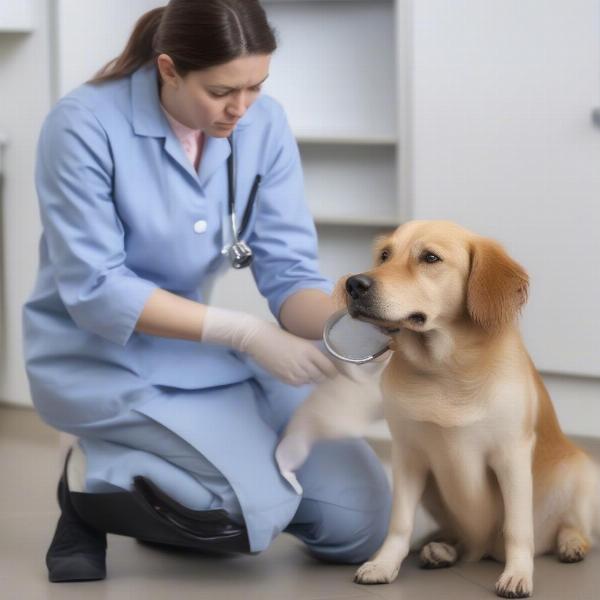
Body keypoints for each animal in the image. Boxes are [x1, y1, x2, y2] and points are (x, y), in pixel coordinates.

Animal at [276, 221, 600, 600]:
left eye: (430, 258)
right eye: (384, 255)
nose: (354, 284)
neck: (444, 368)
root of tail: (485, 549)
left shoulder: (512, 457)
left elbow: (518, 527)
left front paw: (518, 574)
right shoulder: (407, 455)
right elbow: (399, 523)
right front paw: (384, 564)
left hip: (581, 472)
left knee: (573, 526)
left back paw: (570, 544)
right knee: (462, 541)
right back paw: (441, 548)